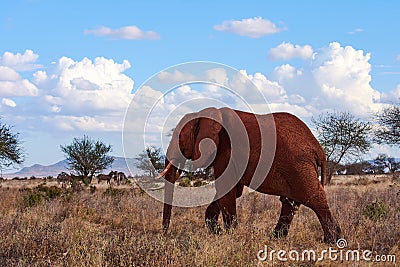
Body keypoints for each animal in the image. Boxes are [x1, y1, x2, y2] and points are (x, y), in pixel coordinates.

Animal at [158, 108, 342, 244]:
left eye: (179, 138)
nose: (164, 235)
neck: (205, 114)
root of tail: (319, 149)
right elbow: (232, 191)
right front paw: (217, 232)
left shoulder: (226, 150)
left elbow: (226, 189)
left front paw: (230, 237)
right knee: (290, 202)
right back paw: (275, 238)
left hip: (299, 165)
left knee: (314, 198)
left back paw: (333, 241)